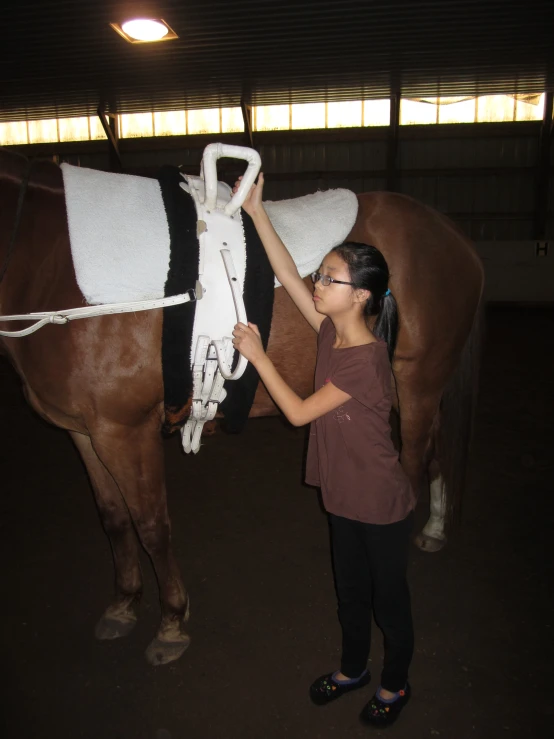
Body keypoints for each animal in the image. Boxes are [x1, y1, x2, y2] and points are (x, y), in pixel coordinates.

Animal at [0, 149, 480, 664]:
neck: (50, 265)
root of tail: (454, 237)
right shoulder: (85, 432)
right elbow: (113, 518)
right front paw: (124, 604)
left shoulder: (123, 431)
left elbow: (151, 525)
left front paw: (172, 622)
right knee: (431, 454)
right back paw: (434, 528)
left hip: (418, 384)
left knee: (411, 463)